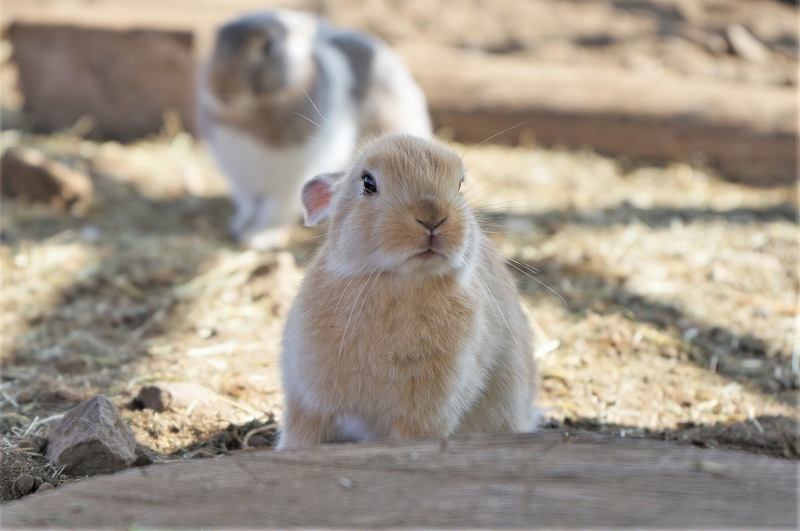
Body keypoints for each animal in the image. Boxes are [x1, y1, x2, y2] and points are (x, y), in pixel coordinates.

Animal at [196, 9, 432, 251]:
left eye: (269, 46)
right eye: (218, 42)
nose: (220, 88)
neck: (252, 115)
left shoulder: (288, 185)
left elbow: (272, 212)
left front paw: (257, 238)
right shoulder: (243, 182)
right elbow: (248, 207)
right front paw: (239, 226)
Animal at [276, 134, 536, 448]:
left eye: (460, 184)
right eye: (368, 183)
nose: (432, 216)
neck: (398, 283)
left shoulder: (424, 414)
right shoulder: (309, 403)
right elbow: (301, 437)